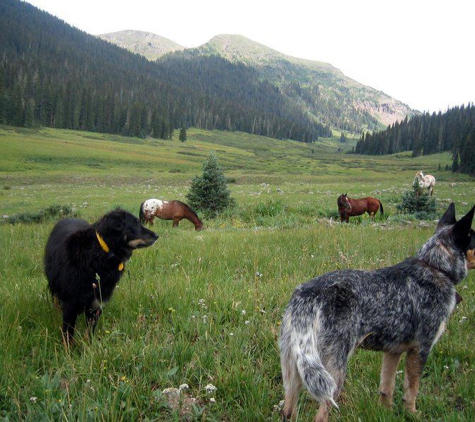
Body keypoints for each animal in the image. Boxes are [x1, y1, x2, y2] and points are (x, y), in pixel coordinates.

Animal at [44, 209, 158, 342]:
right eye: (135, 224)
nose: (156, 235)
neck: (102, 252)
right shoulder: (70, 304)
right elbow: (68, 334)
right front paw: (68, 347)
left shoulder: (97, 302)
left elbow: (89, 332)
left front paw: (89, 345)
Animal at [278, 203, 475, 420]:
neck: (435, 267)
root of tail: (308, 295)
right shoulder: (421, 348)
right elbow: (411, 390)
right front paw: (412, 414)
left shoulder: (393, 352)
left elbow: (386, 388)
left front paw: (387, 413)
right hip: (332, 375)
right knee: (321, 415)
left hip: (295, 371)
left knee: (288, 410)